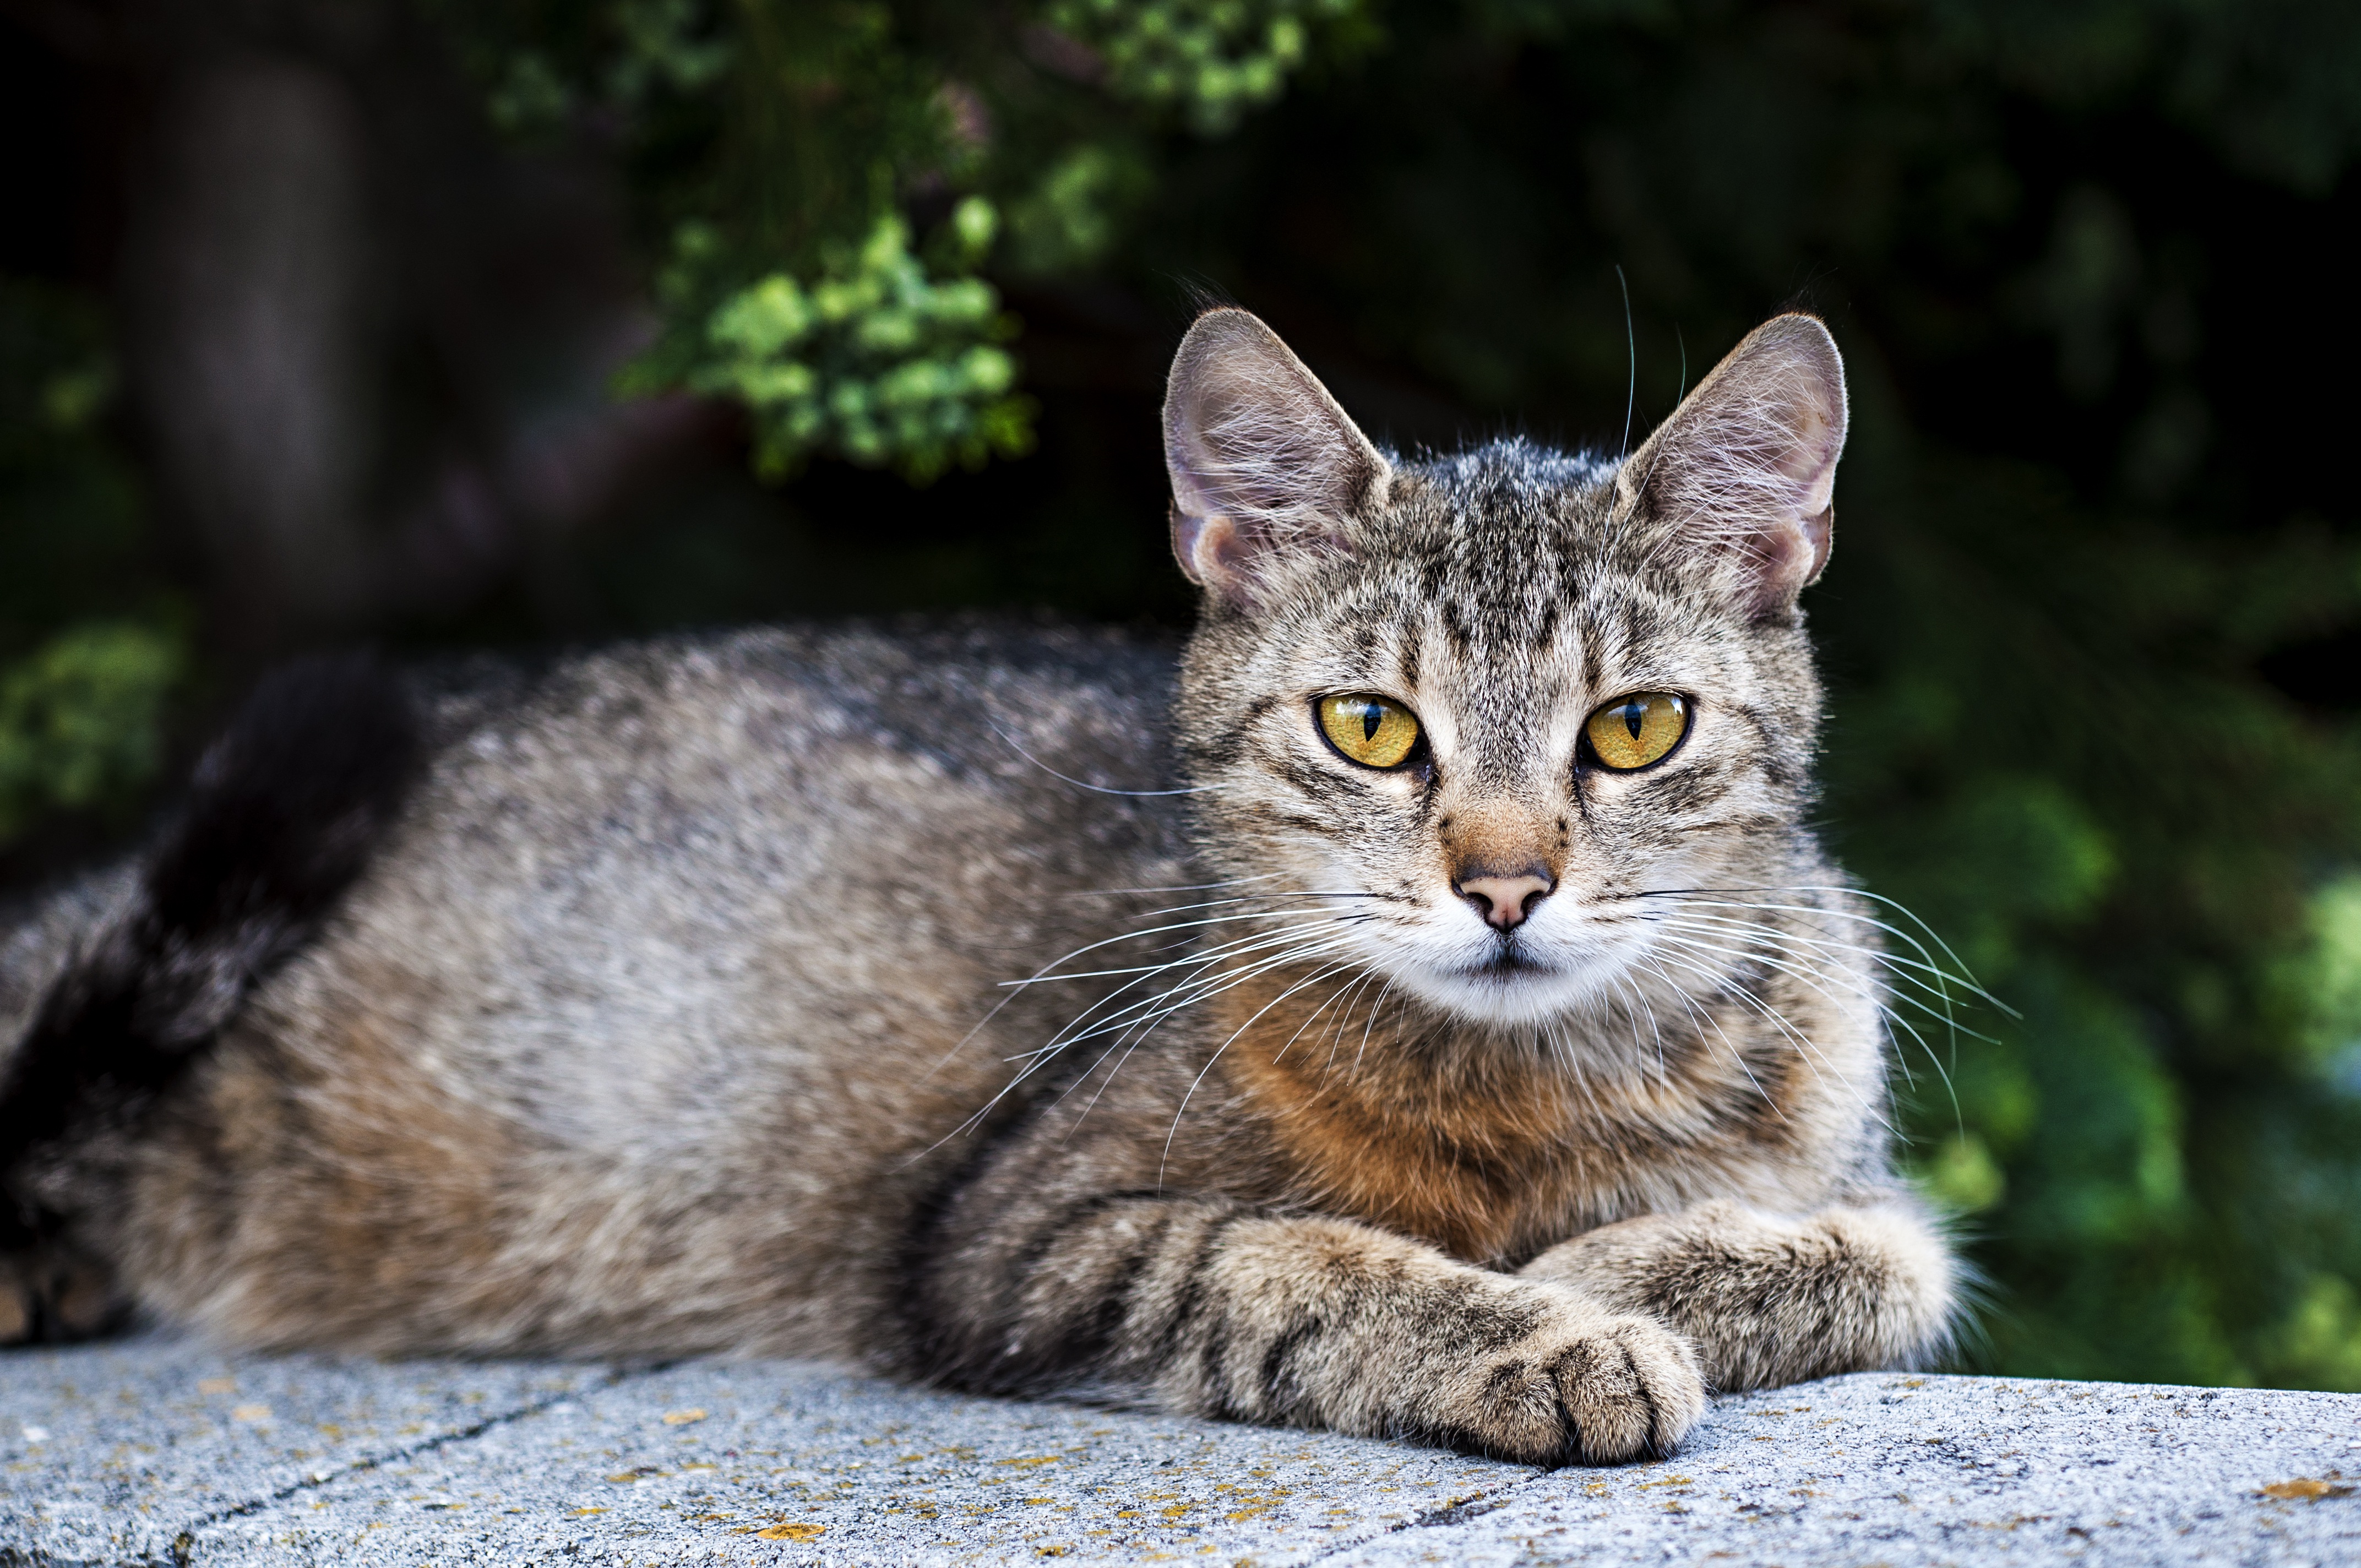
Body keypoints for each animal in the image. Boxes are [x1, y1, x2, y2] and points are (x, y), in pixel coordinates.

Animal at [0, 309, 1955, 1473]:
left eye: (1633, 728)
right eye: (1369, 726)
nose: (1503, 886)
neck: (1533, 1106)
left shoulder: (1872, 1191)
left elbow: (1853, 1256)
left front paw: (1619, 1268)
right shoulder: (1015, 1240)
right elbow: (1292, 1259)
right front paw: (1549, 1329)